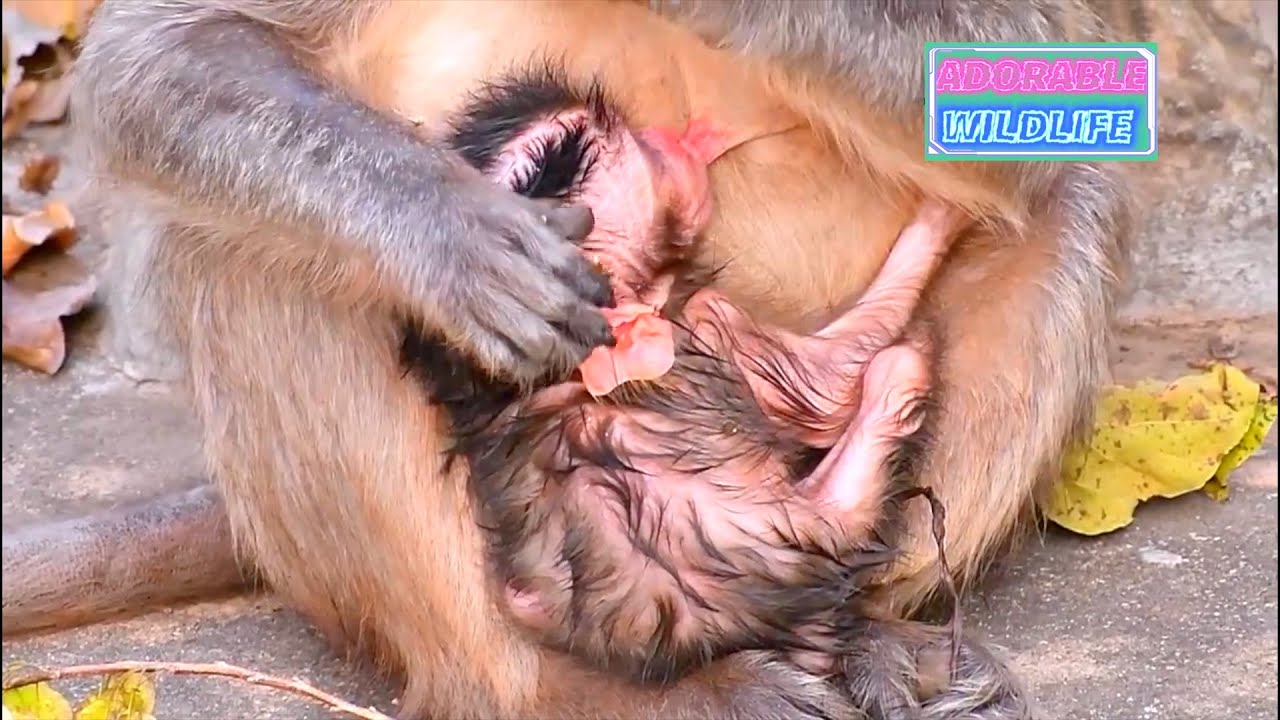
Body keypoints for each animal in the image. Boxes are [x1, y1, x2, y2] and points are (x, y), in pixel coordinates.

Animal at [2, 1, 1133, 719]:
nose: (676, 153)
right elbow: (160, 56)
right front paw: (450, 236)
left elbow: (1038, 64)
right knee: (247, 251)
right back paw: (563, 692)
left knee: (1066, 192)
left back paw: (857, 636)